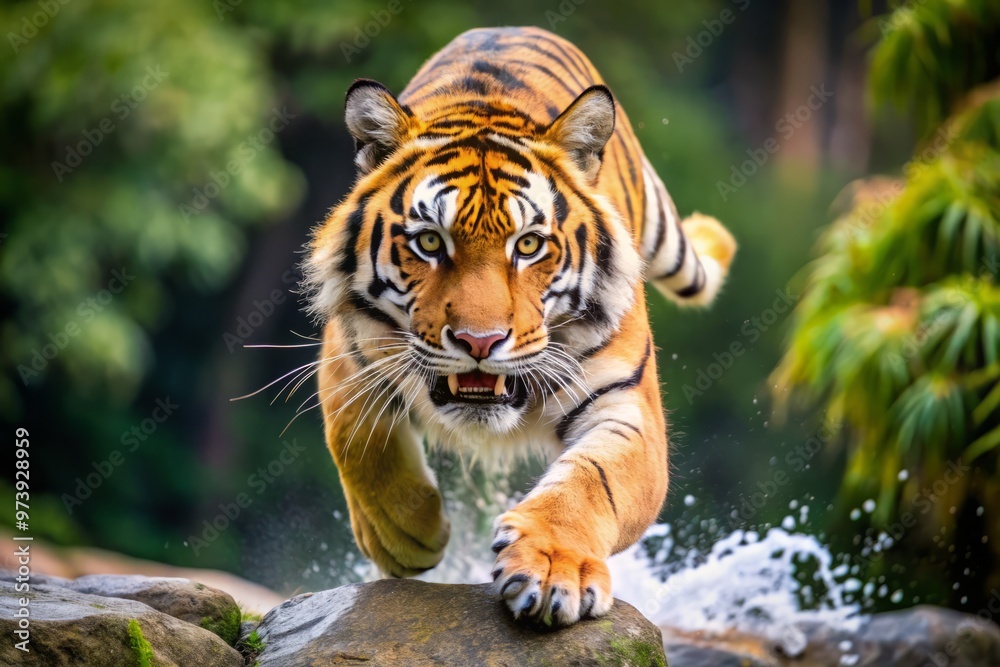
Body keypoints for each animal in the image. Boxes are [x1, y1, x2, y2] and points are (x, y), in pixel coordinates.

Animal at [303, 26, 736, 627]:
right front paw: (409, 534)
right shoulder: (349, 353)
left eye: (528, 245)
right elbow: (357, 440)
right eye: (429, 241)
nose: (478, 342)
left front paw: (554, 571)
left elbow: (589, 482)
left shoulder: (625, 404)